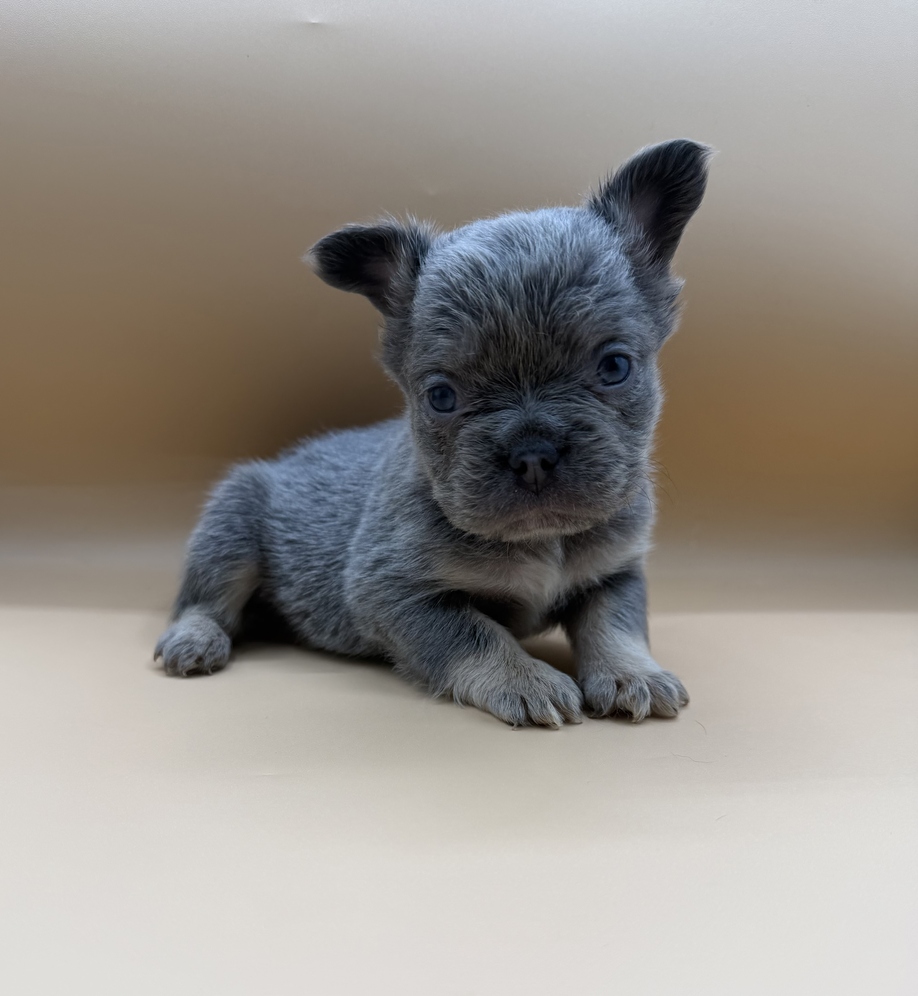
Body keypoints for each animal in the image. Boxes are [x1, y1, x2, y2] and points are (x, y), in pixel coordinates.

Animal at [155, 139, 712, 727]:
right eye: (441, 397)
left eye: (614, 367)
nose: (532, 453)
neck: (542, 539)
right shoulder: (398, 595)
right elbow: (474, 634)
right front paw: (526, 678)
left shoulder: (616, 572)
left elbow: (615, 623)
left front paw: (632, 673)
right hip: (232, 524)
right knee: (205, 599)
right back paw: (195, 639)